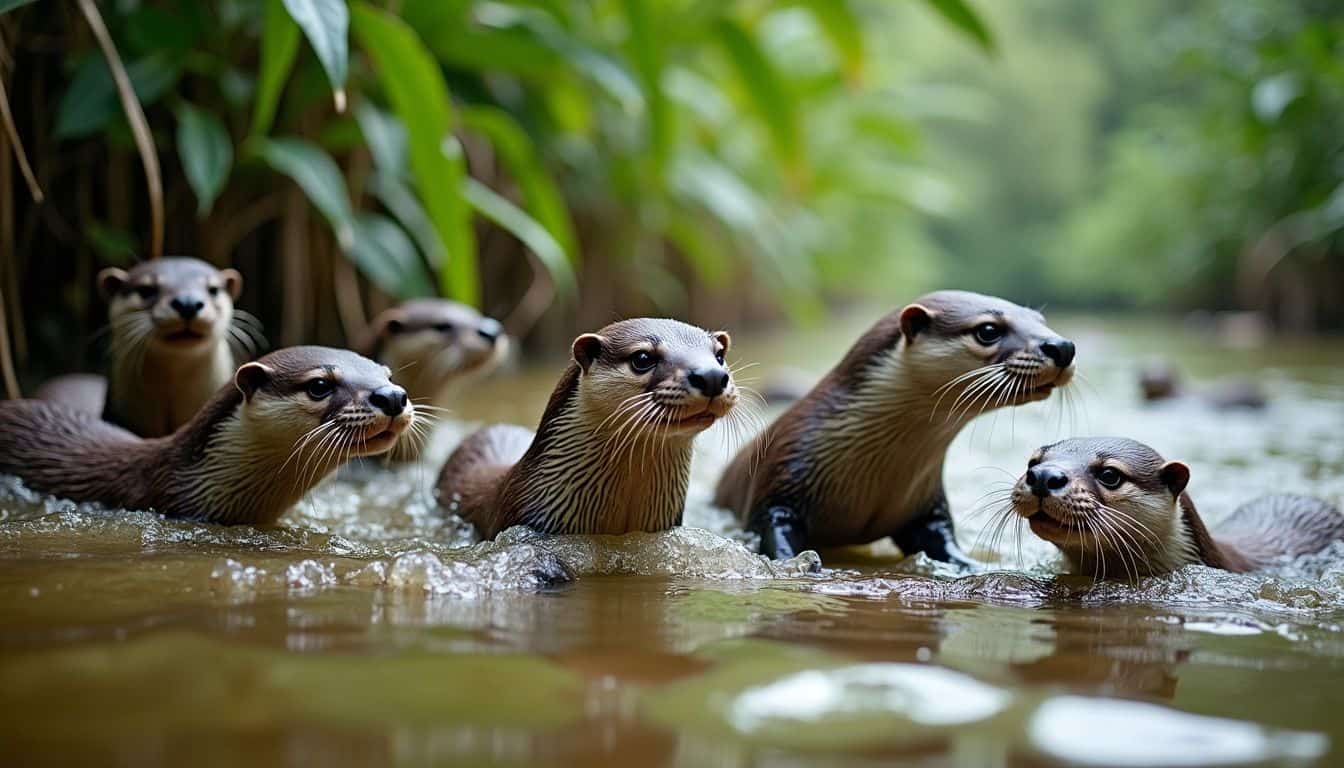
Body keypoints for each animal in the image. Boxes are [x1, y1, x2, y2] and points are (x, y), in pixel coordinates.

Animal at [720, 291, 1075, 567]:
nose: (1063, 346)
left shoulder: (926, 504)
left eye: (1040, 320)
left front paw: (970, 565)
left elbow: (939, 541)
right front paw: (796, 562)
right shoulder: (783, 473)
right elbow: (771, 525)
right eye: (988, 330)